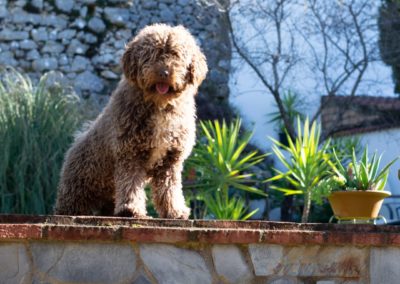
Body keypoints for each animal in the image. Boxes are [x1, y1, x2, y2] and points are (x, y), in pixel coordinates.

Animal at [54, 25, 208, 220]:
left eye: (176, 54)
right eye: (151, 54)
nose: (164, 72)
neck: (160, 104)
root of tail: (75, 141)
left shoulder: (170, 159)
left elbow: (169, 188)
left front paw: (174, 211)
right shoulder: (130, 152)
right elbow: (131, 183)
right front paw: (131, 210)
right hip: (77, 189)